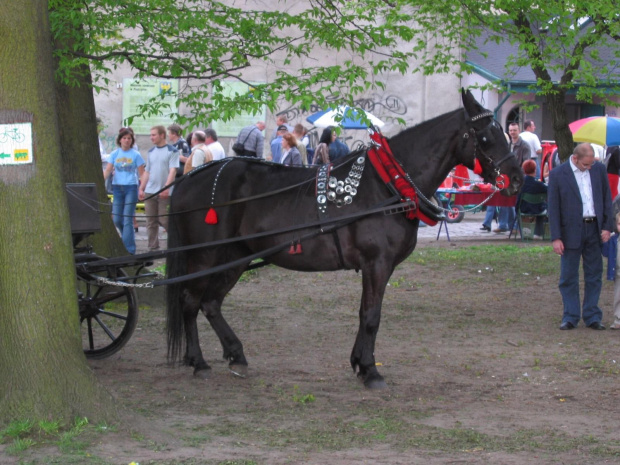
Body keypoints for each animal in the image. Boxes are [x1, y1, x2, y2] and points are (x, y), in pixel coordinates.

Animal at [165, 89, 524, 386]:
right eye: (485, 135)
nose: (518, 178)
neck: (388, 185)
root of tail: (188, 179)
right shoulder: (377, 263)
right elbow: (371, 316)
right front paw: (371, 370)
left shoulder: (377, 267)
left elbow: (366, 313)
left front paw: (359, 363)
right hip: (206, 256)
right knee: (190, 301)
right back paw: (198, 361)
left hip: (234, 256)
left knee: (211, 303)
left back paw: (236, 354)